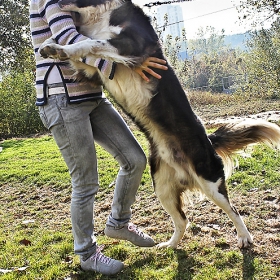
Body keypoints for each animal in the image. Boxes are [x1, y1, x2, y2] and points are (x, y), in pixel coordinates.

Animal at [40, 0, 280, 249]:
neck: (101, 14)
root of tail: (208, 140)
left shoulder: (131, 45)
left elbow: (89, 42)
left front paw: (60, 48)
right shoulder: (92, 71)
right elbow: (84, 49)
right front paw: (51, 46)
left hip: (210, 182)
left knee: (233, 210)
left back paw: (244, 237)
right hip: (162, 187)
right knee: (183, 220)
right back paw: (170, 246)